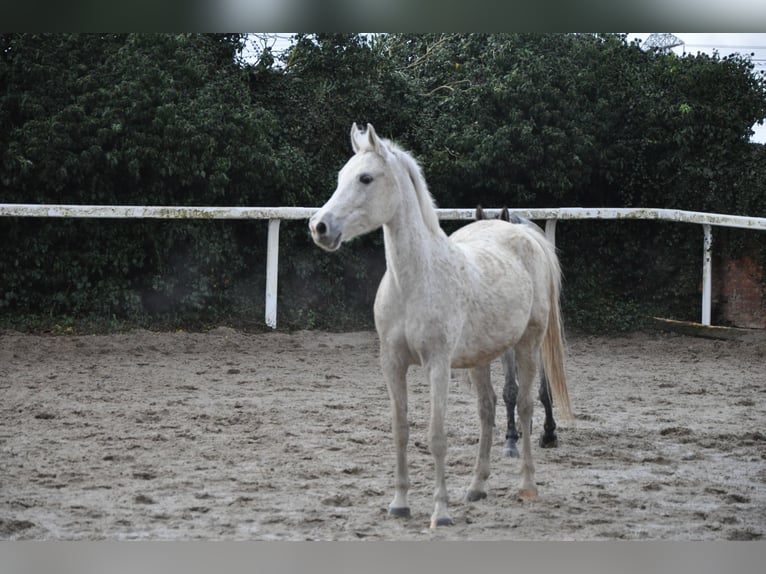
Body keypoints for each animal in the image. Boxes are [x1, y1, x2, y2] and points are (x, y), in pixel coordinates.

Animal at [308, 124, 572, 528]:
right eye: (341, 177)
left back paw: (527, 486)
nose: (320, 227)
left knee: (526, 406)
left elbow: (436, 436)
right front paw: (399, 504)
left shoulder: (438, 364)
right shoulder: (392, 363)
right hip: (481, 358)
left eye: (366, 178)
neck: (416, 280)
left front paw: (441, 513)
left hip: (528, 345)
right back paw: (476, 487)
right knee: (488, 410)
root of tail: (525, 235)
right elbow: (401, 430)